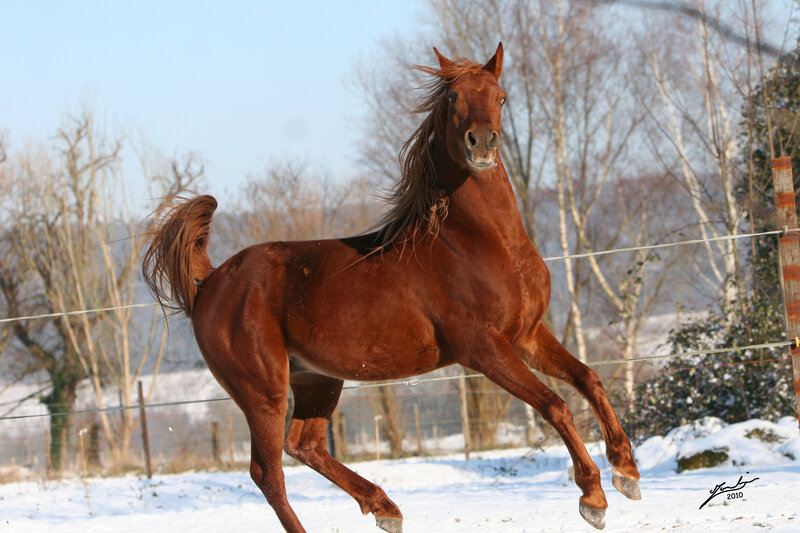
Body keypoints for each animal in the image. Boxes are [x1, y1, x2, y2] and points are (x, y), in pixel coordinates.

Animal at [142, 43, 640, 532]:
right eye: (454, 98)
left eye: (501, 97)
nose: (481, 144)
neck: (482, 243)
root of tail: (210, 281)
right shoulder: (483, 349)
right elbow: (555, 404)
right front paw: (593, 498)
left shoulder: (528, 334)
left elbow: (588, 378)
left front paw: (627, 472)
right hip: (263, 390)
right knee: (268, 473)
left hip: (317, 378)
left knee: (305, 445)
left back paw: (386, 508)